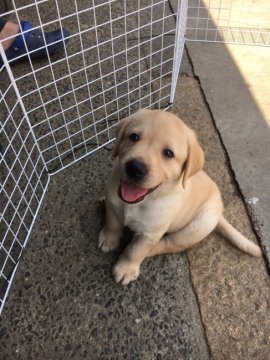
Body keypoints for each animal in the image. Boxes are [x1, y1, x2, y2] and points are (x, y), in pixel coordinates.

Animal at [98, 109, 262, 284]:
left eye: (168, 153)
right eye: (133, 137)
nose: (135, 168)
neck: (140, 201)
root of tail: (219, 212)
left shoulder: (150, 233)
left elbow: (135, 251)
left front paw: (125, 269)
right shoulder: (114, 206)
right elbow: (112, 224)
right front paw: (108, 239)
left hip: (197, 227)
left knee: (167, 244)